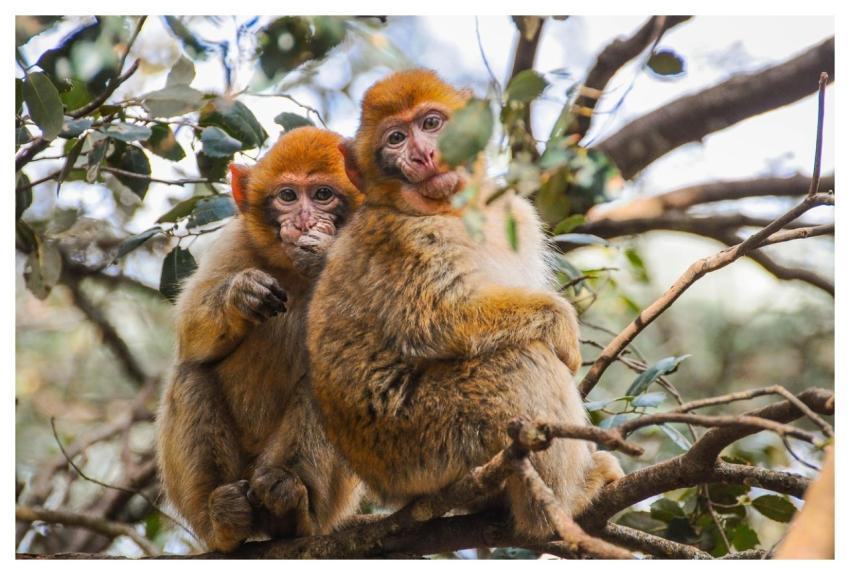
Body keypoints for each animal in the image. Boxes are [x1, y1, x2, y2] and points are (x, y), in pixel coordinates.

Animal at [156, 127, 364, 552]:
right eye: (288, 196)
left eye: (322, 194)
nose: (303, 220)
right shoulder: (236, 242)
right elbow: (189, 337)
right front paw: (240, 294)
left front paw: (323, 253)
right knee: (191, 372)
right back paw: (224, 520)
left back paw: (290, 508)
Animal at [307, 70, 622, 539]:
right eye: (396, 138)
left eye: (431, 123)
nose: (422, 154)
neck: (454, 209)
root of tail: (388, 489)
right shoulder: (406, 239)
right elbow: (437, 319)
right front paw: (563, 327)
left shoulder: (515, 212)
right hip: (425, 440)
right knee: (521, 360)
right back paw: (557, 508)